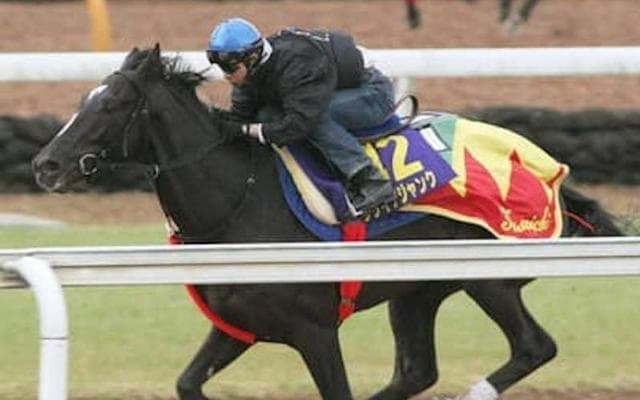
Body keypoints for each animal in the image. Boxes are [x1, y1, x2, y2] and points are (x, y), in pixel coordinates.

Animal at [32, 45, 621, 400]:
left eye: (113, 104)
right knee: (417, 370)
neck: (238, 201)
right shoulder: (237, 327)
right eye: (84, 97)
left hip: (489, 275)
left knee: (534, 347)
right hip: (417, 291)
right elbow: (187, 383)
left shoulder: (313, 329)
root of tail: (547, 168)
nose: (45, 164)